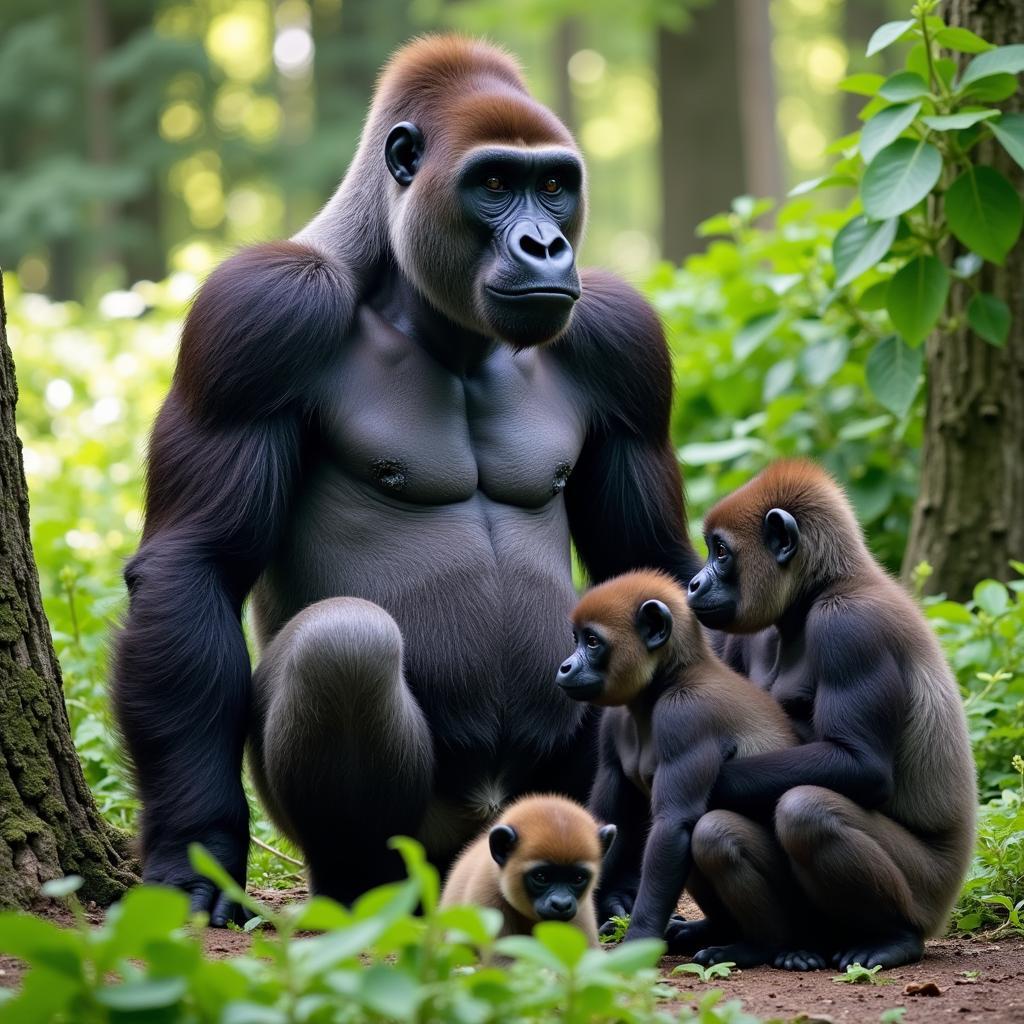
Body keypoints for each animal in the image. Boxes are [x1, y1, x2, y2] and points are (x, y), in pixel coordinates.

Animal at [114, 36, 704, 925]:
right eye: (493, 184)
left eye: (554, 186)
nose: (545, 246)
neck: (406, 289)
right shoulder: (256, 312)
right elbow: (197, 566)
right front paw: (196, 851)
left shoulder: (622, 337)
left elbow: (652, 565)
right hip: (450, 847)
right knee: (344, 646)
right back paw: (368, 891)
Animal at [557, 569, 794, 958]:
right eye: (577, 639)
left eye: (592, 642)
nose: (565, 667)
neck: (669, 679)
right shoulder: (612, 722)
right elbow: (609, 822)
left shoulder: (685, 716)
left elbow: (672, 825)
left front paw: (636, 941)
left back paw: (757, 947)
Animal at [684, 460, 970, 970]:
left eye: (720, 552)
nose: (694, 584)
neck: (822, 588)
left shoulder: (851, 625)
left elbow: (860, 765)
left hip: (926, 891)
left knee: (805, 813)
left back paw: (891, 938)